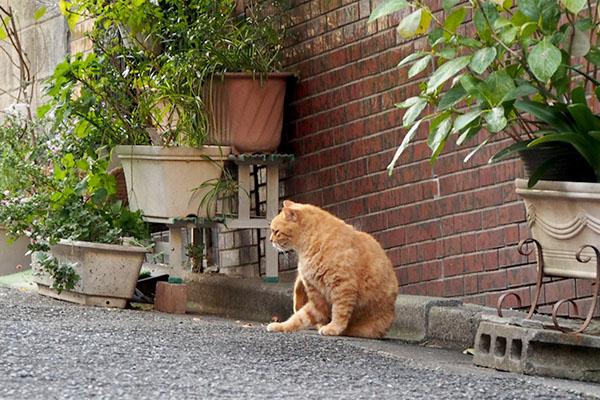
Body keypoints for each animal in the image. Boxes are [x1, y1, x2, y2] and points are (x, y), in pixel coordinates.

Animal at [268, 200, 398, 338]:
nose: (270, 240)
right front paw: (281, 326)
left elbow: (339, 312)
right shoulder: (318, 300)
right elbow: (299, 318)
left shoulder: (343, 287)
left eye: (276, 231)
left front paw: (333, 328)